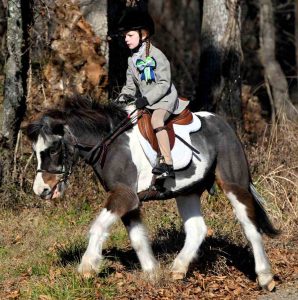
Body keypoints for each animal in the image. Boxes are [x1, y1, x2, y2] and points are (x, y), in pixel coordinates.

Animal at [26, 95, 278, 290]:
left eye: (52, 149)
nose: (41, 190)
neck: (110, 144)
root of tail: (225, 125)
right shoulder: (130, 201)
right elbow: (138, 239)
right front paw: (153, 274)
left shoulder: (124, 195)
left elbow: (97, 227)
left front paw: (87, 266)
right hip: (187, 191)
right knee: (197, 229)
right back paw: (177, 269)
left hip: (234, 185)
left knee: (250, 228)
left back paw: (265, 277)